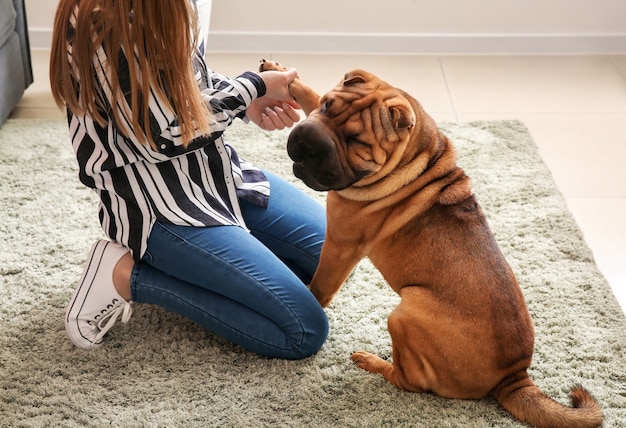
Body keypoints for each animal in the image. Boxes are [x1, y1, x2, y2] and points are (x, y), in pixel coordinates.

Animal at [258, 59, 600, 428]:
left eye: (355, 139)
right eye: (327, 107)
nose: (306, 140)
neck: (415, 155)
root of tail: (513, 376)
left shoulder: (340, 243)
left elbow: (321, 285)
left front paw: (311, 299)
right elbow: (308, 92)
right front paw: (279, 73)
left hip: (407, 311)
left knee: (410, 382)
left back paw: (372, 362)